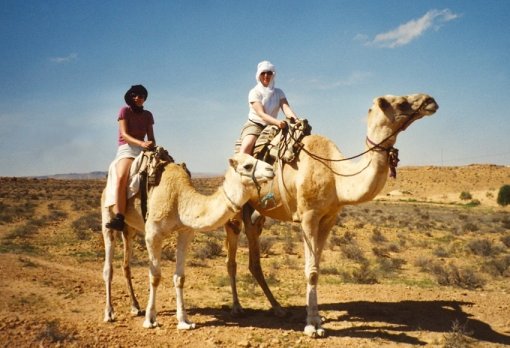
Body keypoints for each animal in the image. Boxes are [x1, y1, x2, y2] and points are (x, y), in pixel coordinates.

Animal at [100, 152, 274, 328]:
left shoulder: (185, 232)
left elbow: (180, 278)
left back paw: (135, 307)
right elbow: (155, 276)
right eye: (247, 166)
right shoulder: (153, 234)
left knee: (126, 263)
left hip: (130, 229)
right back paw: (109, 313)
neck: (180, 199)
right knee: (108, 266)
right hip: (107, 215)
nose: (271, 170)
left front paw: (184, 321)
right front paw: (150, 320)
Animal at [225, 93, 440, 338]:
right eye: (400, 102)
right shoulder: (308, 216)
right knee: (232, 253)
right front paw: (311, 326)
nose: (430, 100)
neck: (336, 175)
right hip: (235, 209)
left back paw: (278, 308)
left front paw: (317, 319)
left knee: (254, 256)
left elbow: (317, 268)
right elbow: (310, 271)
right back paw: (237, 308)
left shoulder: (329, 218)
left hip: (256, 214)